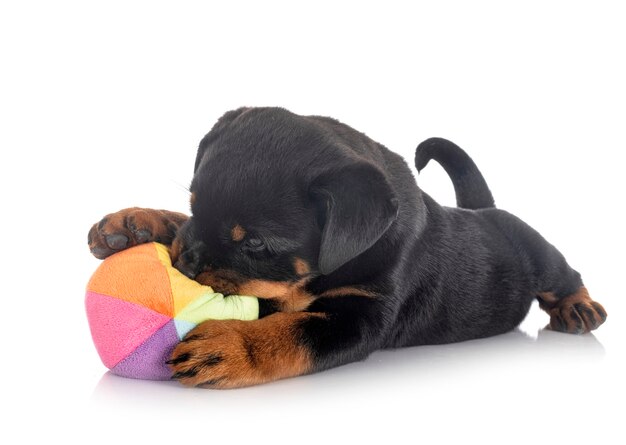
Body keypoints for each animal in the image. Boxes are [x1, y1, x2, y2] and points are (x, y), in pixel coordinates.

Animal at [88, 106, 604, 386]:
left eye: (255, 242)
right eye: (193, 204)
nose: (186, 264)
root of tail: (483, 209)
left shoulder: (361, 315)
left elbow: (292, 332)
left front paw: (231, 346)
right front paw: (134, 223)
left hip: (535, 250)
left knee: (563, 273)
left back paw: (579, 307)